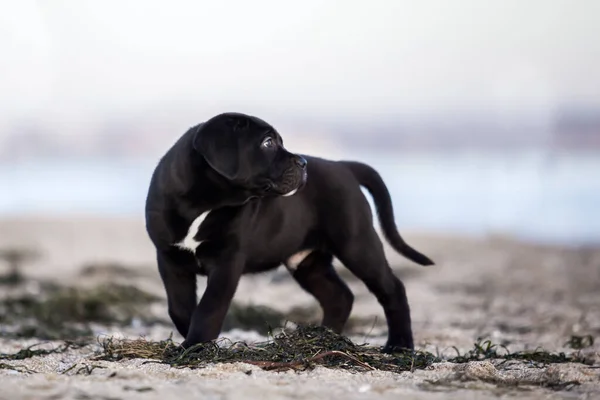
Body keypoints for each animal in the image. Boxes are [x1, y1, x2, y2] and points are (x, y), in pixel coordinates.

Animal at [145, 111, 436, 354]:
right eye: (267, 143)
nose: (303, 162)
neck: (205, 203)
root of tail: (343, 166)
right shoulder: (169, 258)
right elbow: (179, 307)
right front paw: (192, 340)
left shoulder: (227, 261)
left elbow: (209, 307)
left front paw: (194, 345)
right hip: (307, 261)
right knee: (339, 296)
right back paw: (323, 338)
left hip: (357, 243)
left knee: (392, 289)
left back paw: (399, 346)